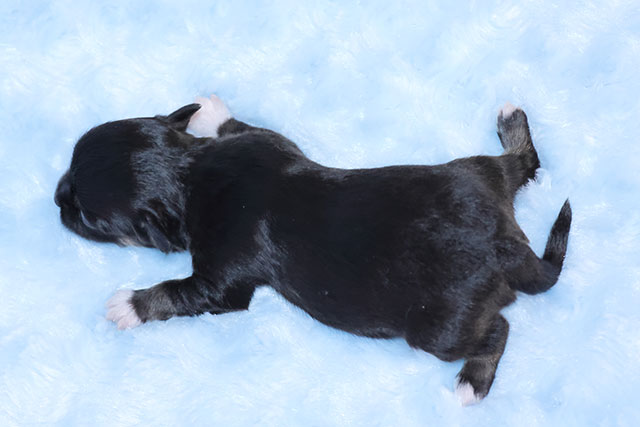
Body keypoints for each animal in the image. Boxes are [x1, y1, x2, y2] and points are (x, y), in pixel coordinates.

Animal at [54, 95, 571, 405]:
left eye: (89, 217)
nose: (58, 197)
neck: (190, 174)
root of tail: (506, 245)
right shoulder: (263, 143)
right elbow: (244, 126)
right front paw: (210, 111)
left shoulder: (221, 282)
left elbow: (182, 291)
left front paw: (128, 304)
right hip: (474, 171)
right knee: (521, 163)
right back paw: (511, 124)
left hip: (441, 329)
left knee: (498, 329)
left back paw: (471, 381)